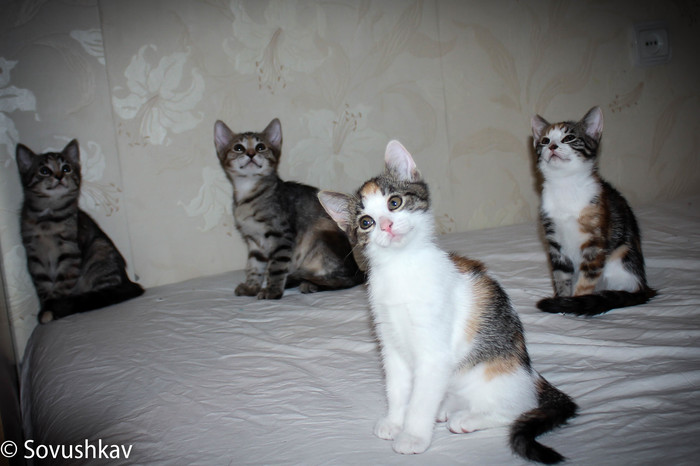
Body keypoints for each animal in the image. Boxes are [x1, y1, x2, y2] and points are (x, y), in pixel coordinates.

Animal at [16, 139, 144, 323]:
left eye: (66, 168)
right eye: (44, 171)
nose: (59, 176)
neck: (48, 219)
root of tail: (127, 281)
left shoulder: (69, 254)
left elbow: (62, 284)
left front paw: (55, 307)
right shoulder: (34, 256)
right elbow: (42, 286)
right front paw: (47, 308)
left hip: (99, 251)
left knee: (103, 293)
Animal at [214, 118, 364, 299]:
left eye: (260, 147)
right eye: (238, 148)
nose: (250, 154)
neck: (248, 194)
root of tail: (358, 269)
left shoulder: (281, 235)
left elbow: (276, 267)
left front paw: (272, 291)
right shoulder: (254, 241)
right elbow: (254, 266)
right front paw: (251, 286)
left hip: (321, 234)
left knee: (345, 280)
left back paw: (310, 284)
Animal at [318, 140, 577, 464]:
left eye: (394, 203)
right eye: (366, 222)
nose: (387, 225)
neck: (402, 268)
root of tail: (531, 375)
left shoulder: (434, 351)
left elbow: (421, 399)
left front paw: (413, 436)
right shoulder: (390, 341)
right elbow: (398, 387)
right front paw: (395, 420)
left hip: (492, 377)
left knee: (518, 407)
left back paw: (468, 418)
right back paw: (444, 409)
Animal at [531, 106, 656, 316]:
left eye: (569, 138)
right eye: (545, 140)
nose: (552, 146)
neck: (565, 185)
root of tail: (643, 287)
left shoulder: (595, 242)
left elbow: (587, 278)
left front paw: (575, 302)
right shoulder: (555, 241)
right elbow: (560, 275)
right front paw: (562, 301)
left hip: (621, 257)